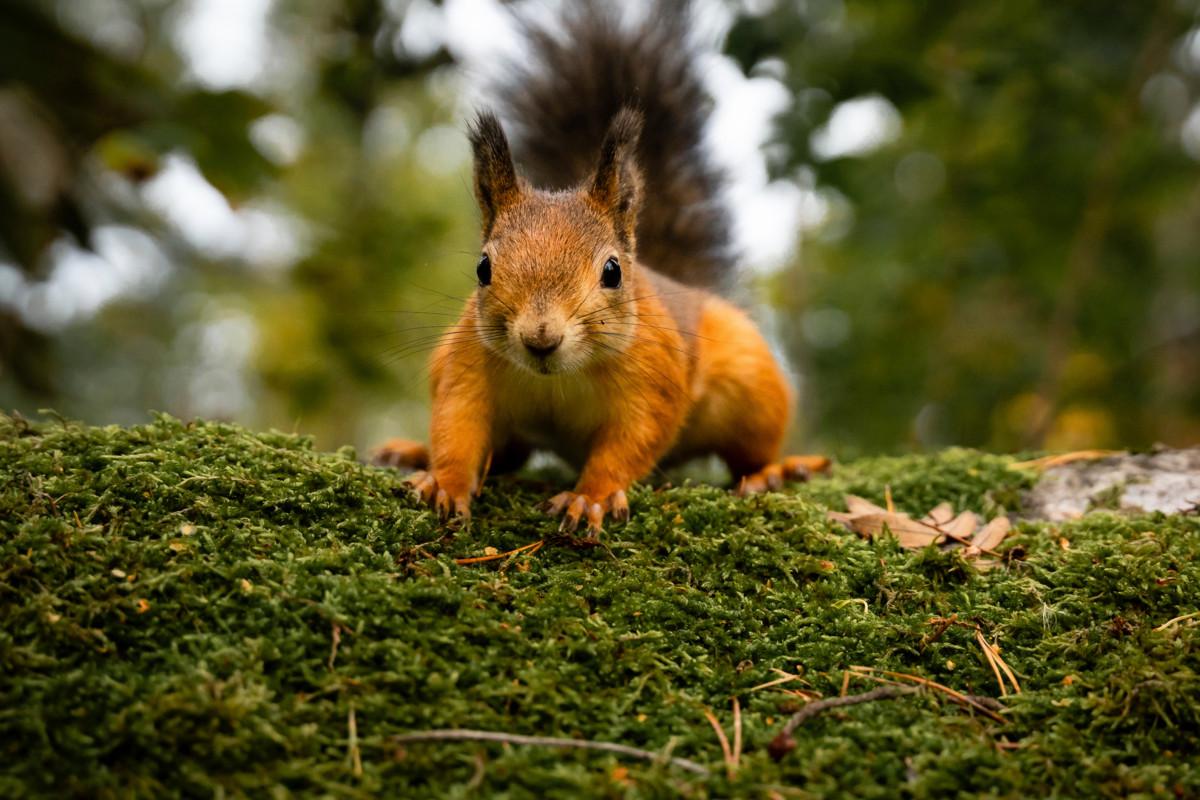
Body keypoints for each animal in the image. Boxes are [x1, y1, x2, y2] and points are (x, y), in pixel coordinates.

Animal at [372, 3, 825, 537]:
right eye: (483, 268)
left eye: (612, 272)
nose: (540, 338)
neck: (557, 377)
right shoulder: (467, 363)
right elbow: (457, 422)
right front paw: (444, 479)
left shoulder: (653, 374)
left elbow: (631, 440)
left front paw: (590, 496)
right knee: (507, 455)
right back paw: (411, 452)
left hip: (751, 386)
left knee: (750, 450)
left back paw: (772, 472)